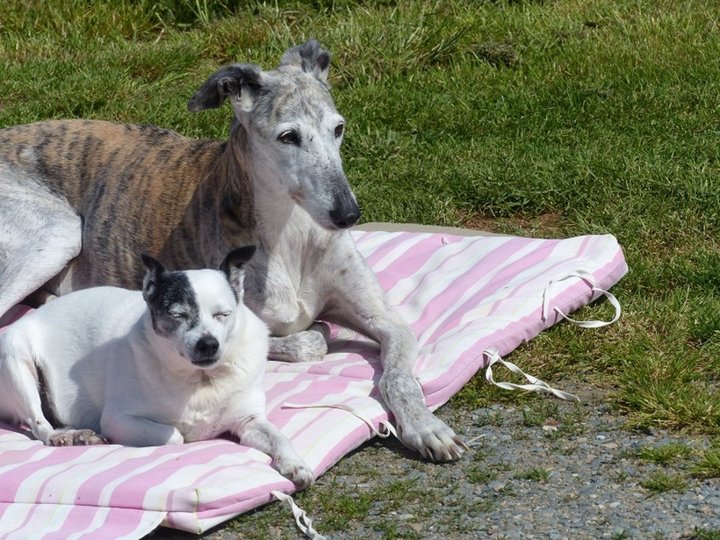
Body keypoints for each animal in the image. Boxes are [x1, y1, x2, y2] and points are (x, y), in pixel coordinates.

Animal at [0, 40, 466, 460]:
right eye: (288, 137)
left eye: (338, 128)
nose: (348, 215)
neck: (291, 231)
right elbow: (307, 342)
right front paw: (316, 336)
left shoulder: (386, 320)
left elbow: (398, 374)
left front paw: (426, 427)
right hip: (59, 233)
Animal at [0, 248, 316, 490]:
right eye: (178, 315)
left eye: (223, 315)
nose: (208, 343)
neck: (202, 381)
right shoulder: (119, 419)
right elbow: (176, 435)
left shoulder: (249, 422)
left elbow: (278, 436)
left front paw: (295, 463)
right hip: (16, 356)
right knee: (39, 423)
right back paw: (59, 435)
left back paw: (81, 434)